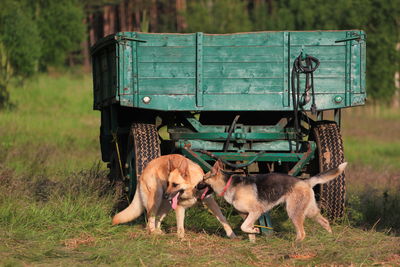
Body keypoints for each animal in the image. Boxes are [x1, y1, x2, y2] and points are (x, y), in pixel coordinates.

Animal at [203, 161, 346, 243]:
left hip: (294, 212)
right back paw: (330, 237)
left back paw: (296, 244)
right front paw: (253, 240)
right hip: (309, 211)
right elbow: (247, 229)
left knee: (302, 233)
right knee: (325, 221)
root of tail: (305, 182)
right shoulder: (246, 215)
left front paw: (255, 231)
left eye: (203, 179)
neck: (228, 184)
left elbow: (244, 227)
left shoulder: (256, 211)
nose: (197, 185)